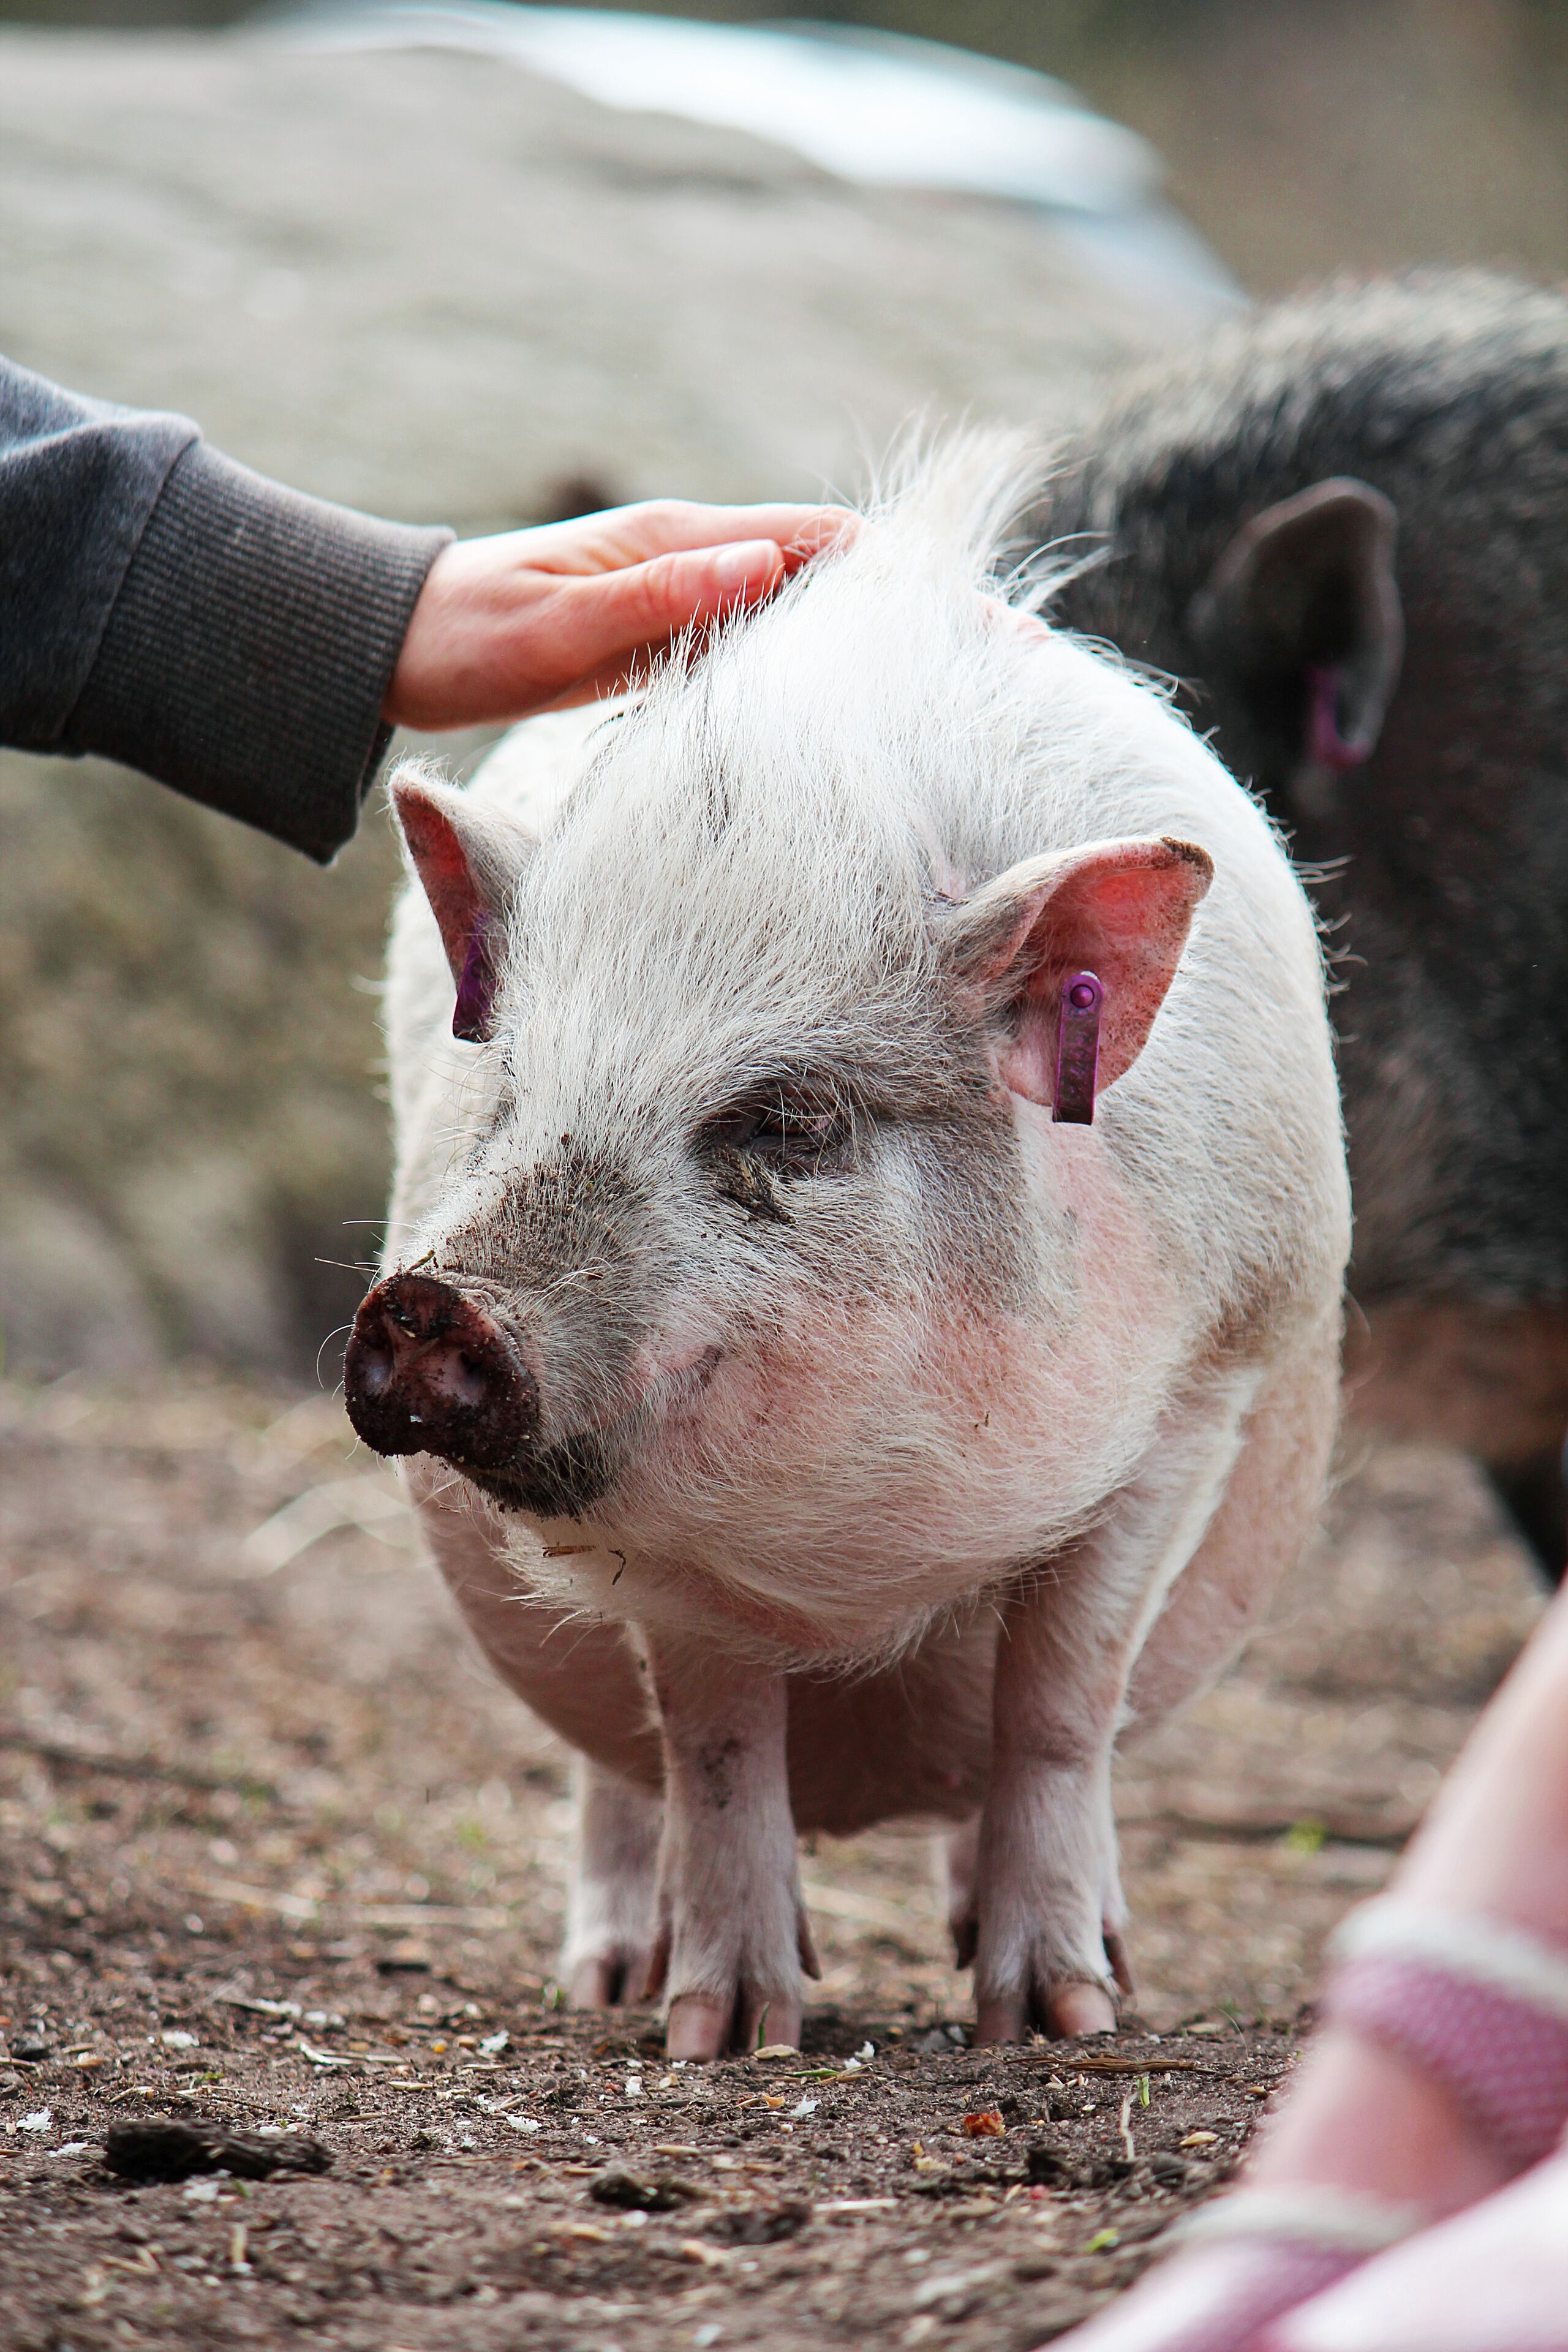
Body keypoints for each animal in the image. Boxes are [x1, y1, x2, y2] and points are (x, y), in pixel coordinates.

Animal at [343, 442, 1349, 2055]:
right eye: (513, 1089)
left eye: (789, 1118)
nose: (435, 1302)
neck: (868, 1570)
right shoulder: (659, 1554)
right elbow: (712, 1744)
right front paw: (725, 2035)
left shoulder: (1201, 1391)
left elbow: (1058, 1702)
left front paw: (1059, 2019)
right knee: (616, 1772)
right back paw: (609, 1978)